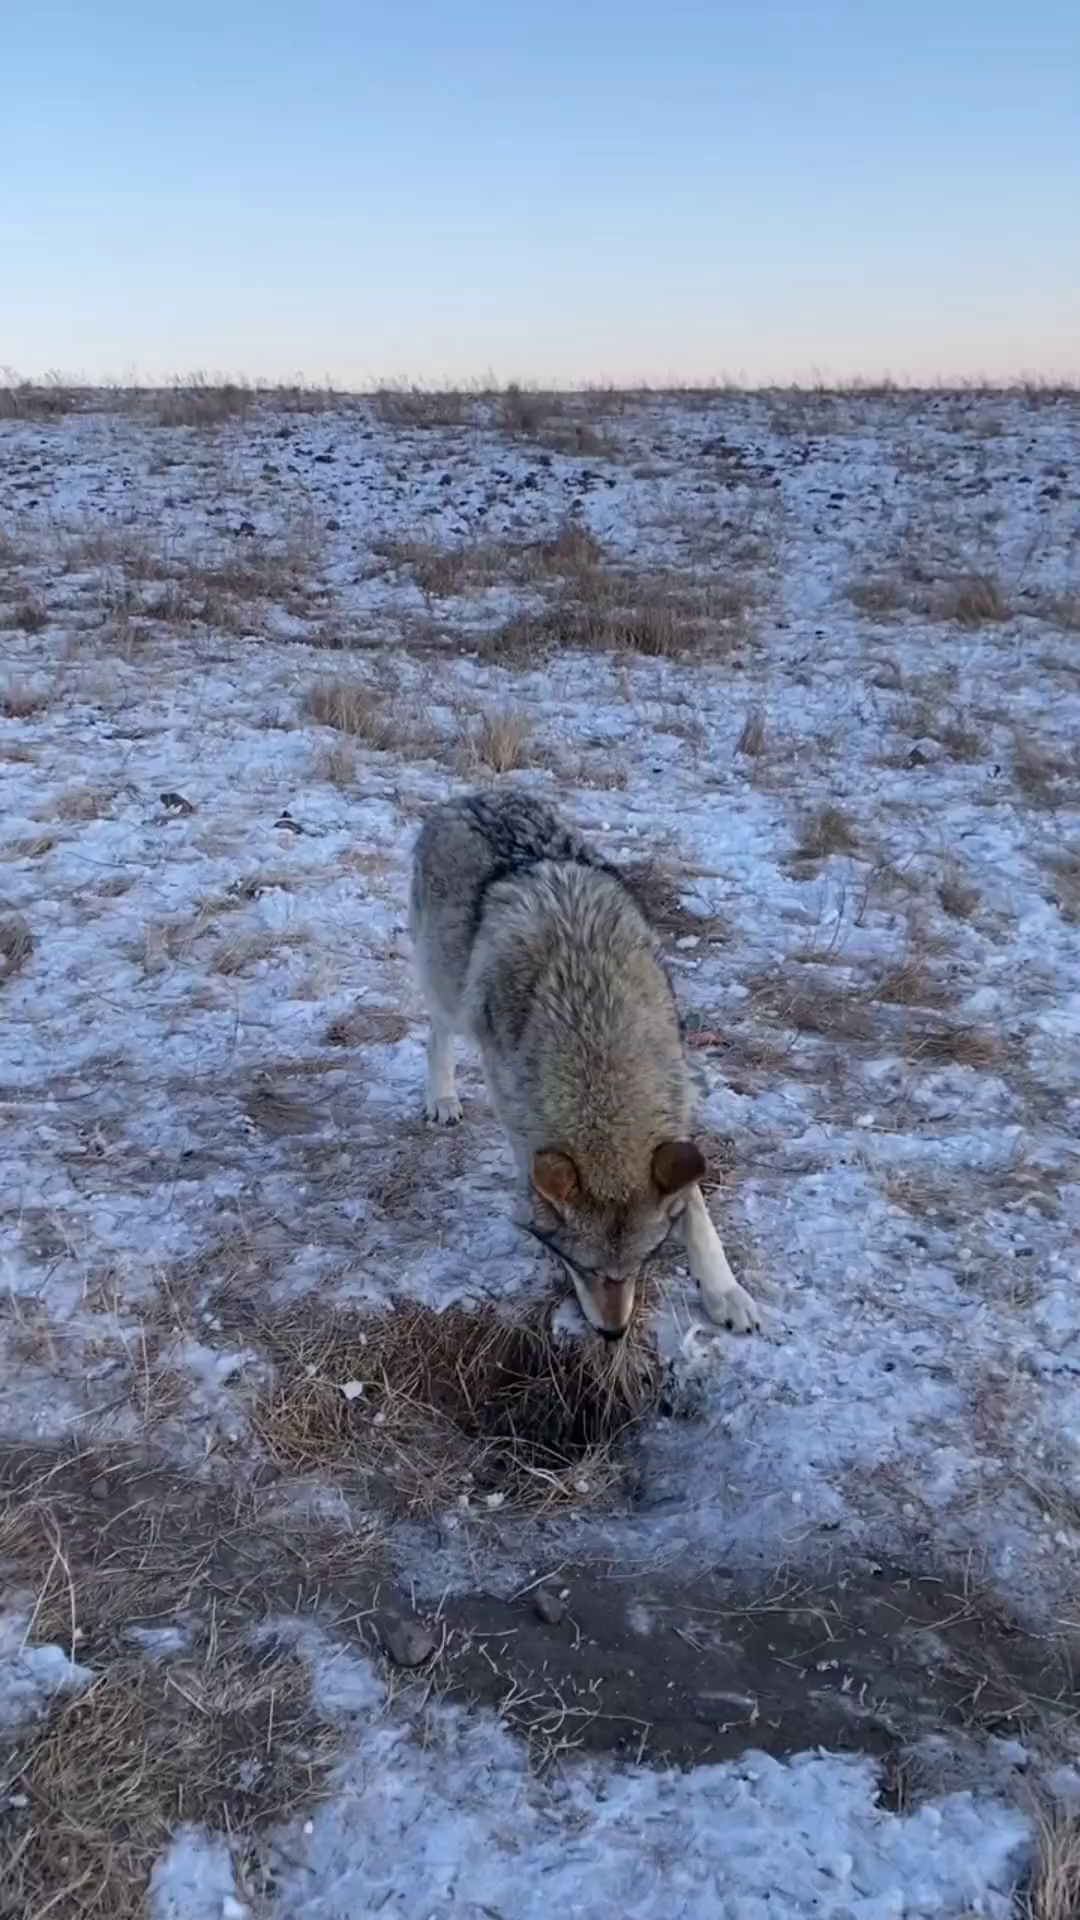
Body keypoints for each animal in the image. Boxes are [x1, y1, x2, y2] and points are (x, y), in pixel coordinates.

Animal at [405, 787, 757, 1344]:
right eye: (584, 1268)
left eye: (641, 1264)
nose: (614, 1333)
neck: (594, 1029)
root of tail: (471, 795)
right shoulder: (516, 1098)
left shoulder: (673, 1111)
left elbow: (697, 1213)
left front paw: (725, 1293)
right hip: (449, 989)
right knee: (437, 1035)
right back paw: (442, 1100)